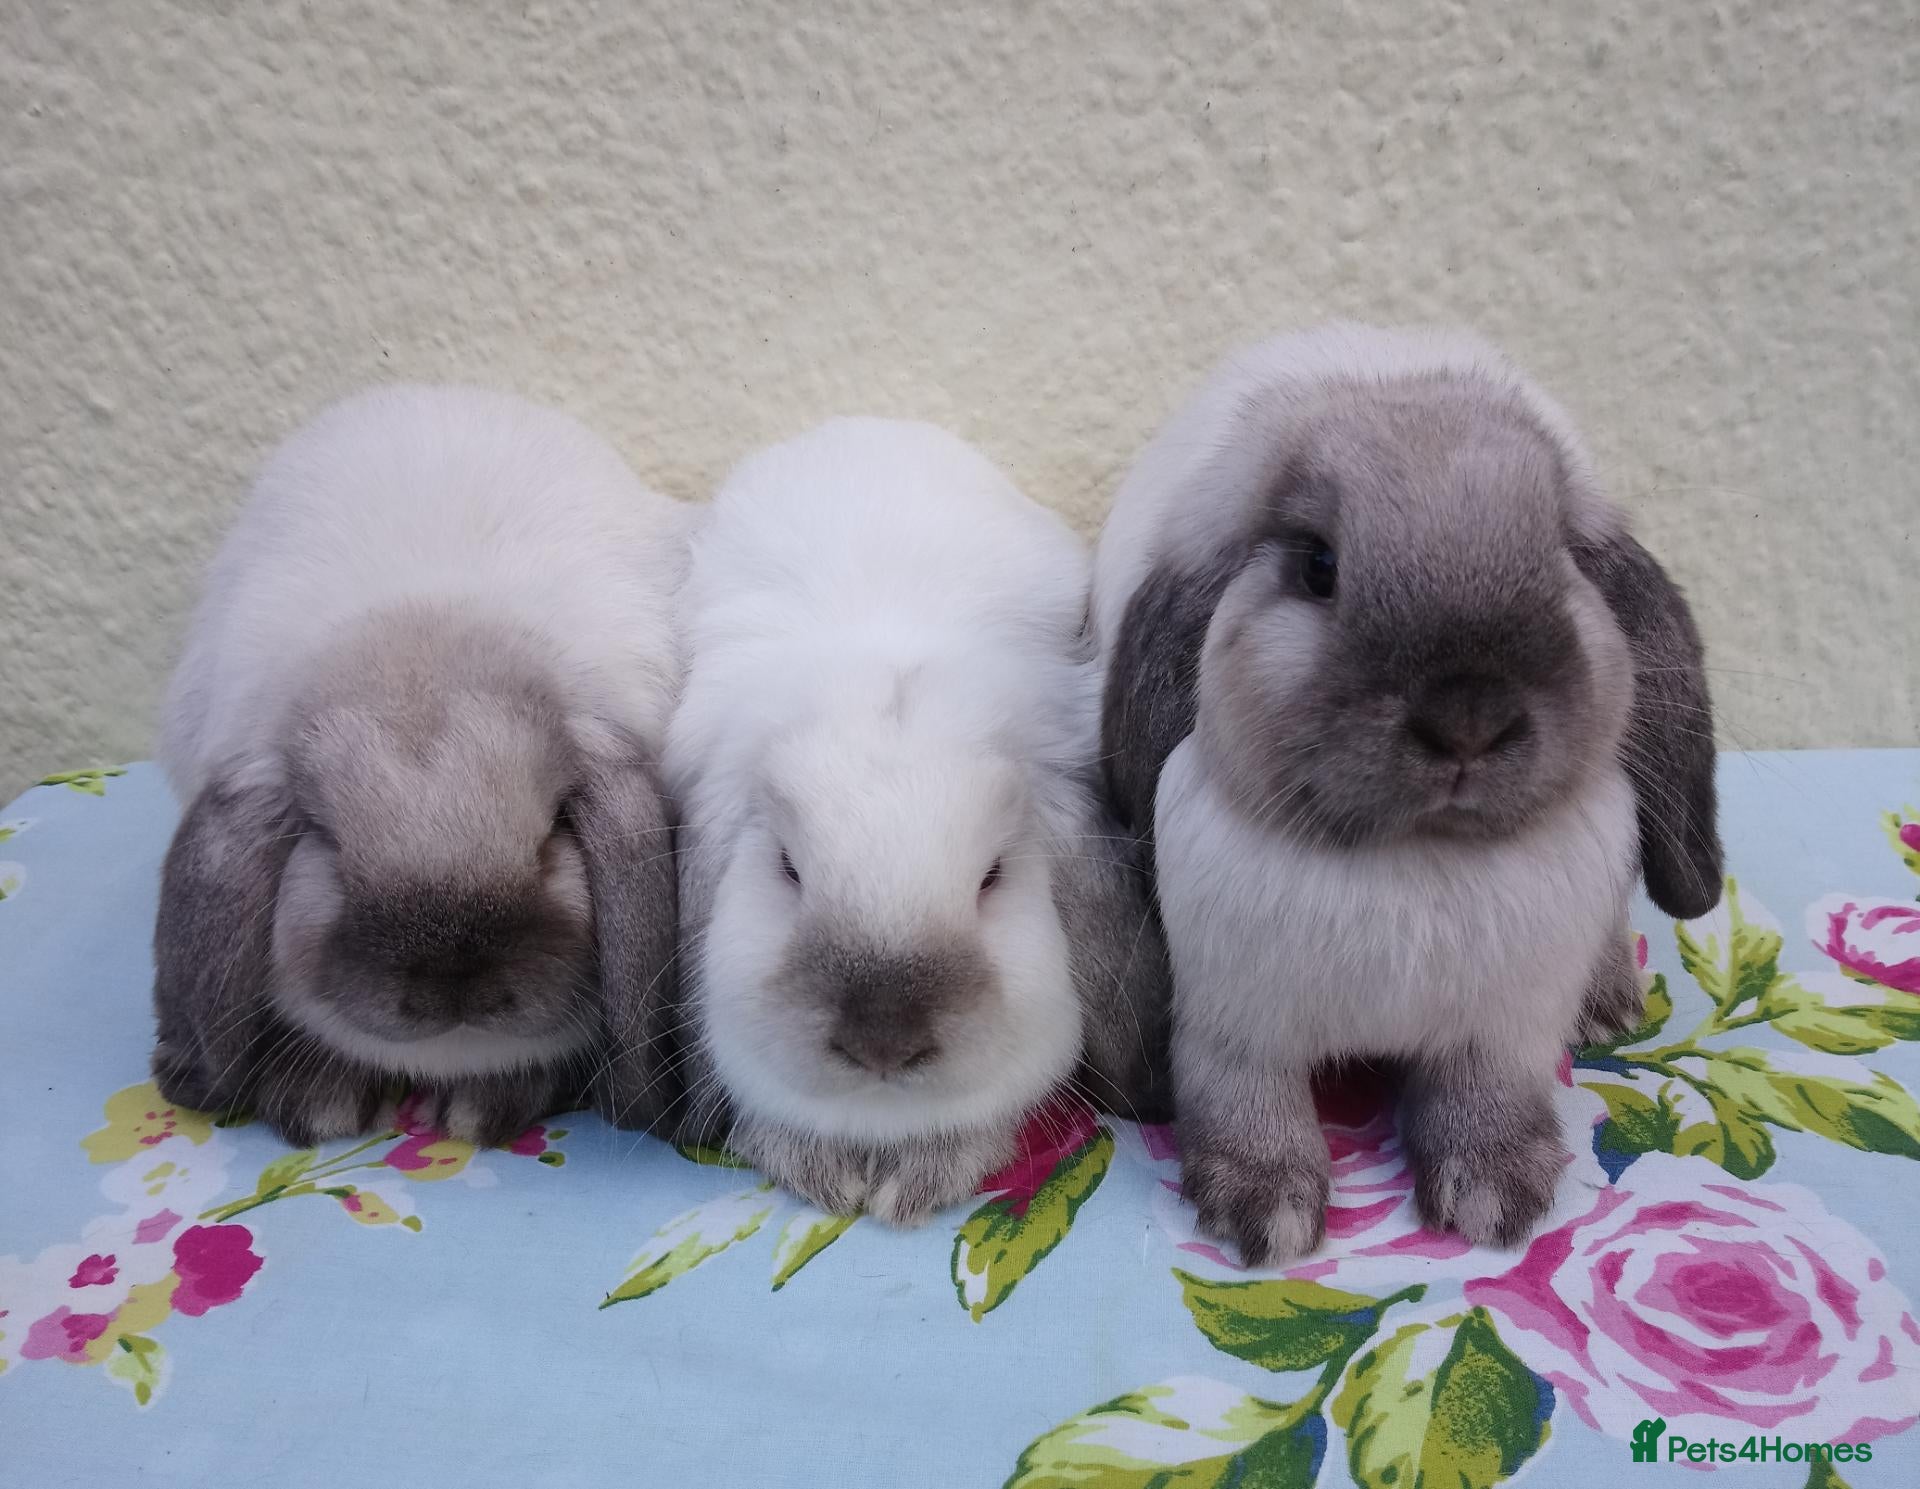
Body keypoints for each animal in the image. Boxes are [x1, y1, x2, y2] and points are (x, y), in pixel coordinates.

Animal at [151, 385, 692, 1148]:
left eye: (552, 834)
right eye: (326, 843)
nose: (453, 985)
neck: (424, 632)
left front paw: (485, 1104)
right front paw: (321, 1097)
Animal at [1094, 323, 1722, 1264]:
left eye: (1562, 560)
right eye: (1318, 566)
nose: (1468, 717)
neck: (1415, 861)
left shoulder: (1500, 1033)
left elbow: (1482, 1102)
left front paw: (1496, 1194)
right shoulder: (1234, 1024)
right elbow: (1249, 1104)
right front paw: (1263, 1211)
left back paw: (1609, 1002)